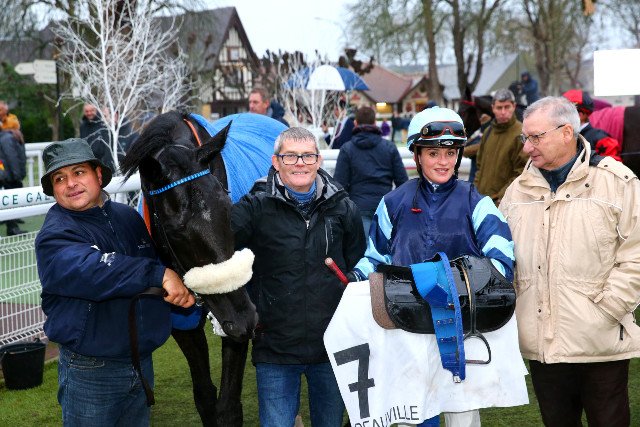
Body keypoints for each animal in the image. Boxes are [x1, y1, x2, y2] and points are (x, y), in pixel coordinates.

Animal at [121, 111, 284, 426]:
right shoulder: (180, 317)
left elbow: (228, 408)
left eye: (230, 209)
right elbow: (205, 397)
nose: (245, 319)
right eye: (174, 229)